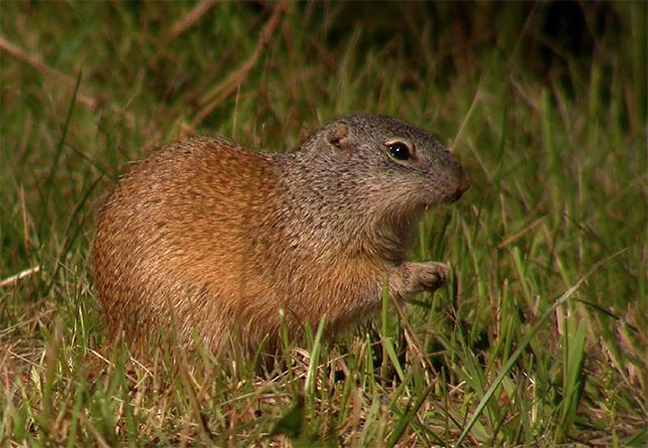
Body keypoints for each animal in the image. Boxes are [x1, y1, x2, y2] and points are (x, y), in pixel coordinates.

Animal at [92, 114, 466, 356]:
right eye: (399, 151)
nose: (463, 183)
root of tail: (117, 335)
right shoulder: (313, 262)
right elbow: (349, 287)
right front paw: (423, 272)